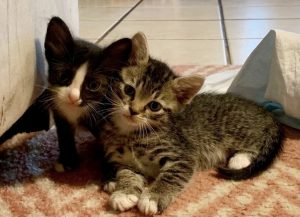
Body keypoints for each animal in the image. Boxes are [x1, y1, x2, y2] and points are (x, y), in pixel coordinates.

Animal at [43, 16, 131, 170]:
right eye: (63, 76)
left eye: (93, 85)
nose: (73, 97)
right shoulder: (60, 113)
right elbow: (64, 136)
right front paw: (68, 161)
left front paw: (110, 173)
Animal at [99, 32, 282, 215]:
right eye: (129, 90)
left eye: (154, 106)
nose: (133, 111)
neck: (130, 134)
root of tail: (266, 111)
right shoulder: (123, 162)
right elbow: (126, 174)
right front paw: (124, 193)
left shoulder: (184, 157)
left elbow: (171, 176)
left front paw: (153, 197)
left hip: (239, 130)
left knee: (256, 142)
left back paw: (239, 159)